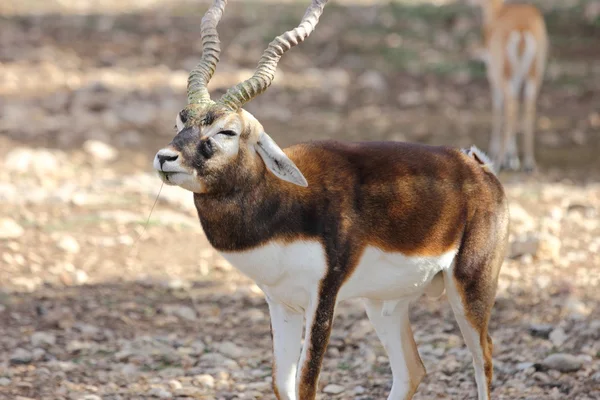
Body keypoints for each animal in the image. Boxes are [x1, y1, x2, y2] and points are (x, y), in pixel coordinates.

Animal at [152, 0, 508, 400]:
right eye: (181, 120)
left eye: (226, 131)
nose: (165, 157)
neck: (281, 204)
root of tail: (475, 166)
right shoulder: (280, 301)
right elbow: (281, 382)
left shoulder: (323, 297)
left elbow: (306, 384)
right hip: (384, 303)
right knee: (412, 370)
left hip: (470, 287)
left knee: (484, 358)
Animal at [476, 0, 548, 170]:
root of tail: (522, 29)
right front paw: (513, 157)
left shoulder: (493, 76)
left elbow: (498, 109)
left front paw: (499, 153)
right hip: (534, 74)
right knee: (528, 107)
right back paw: (528, 162)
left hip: (503, 74)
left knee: (511, 106)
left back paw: (499, 161)